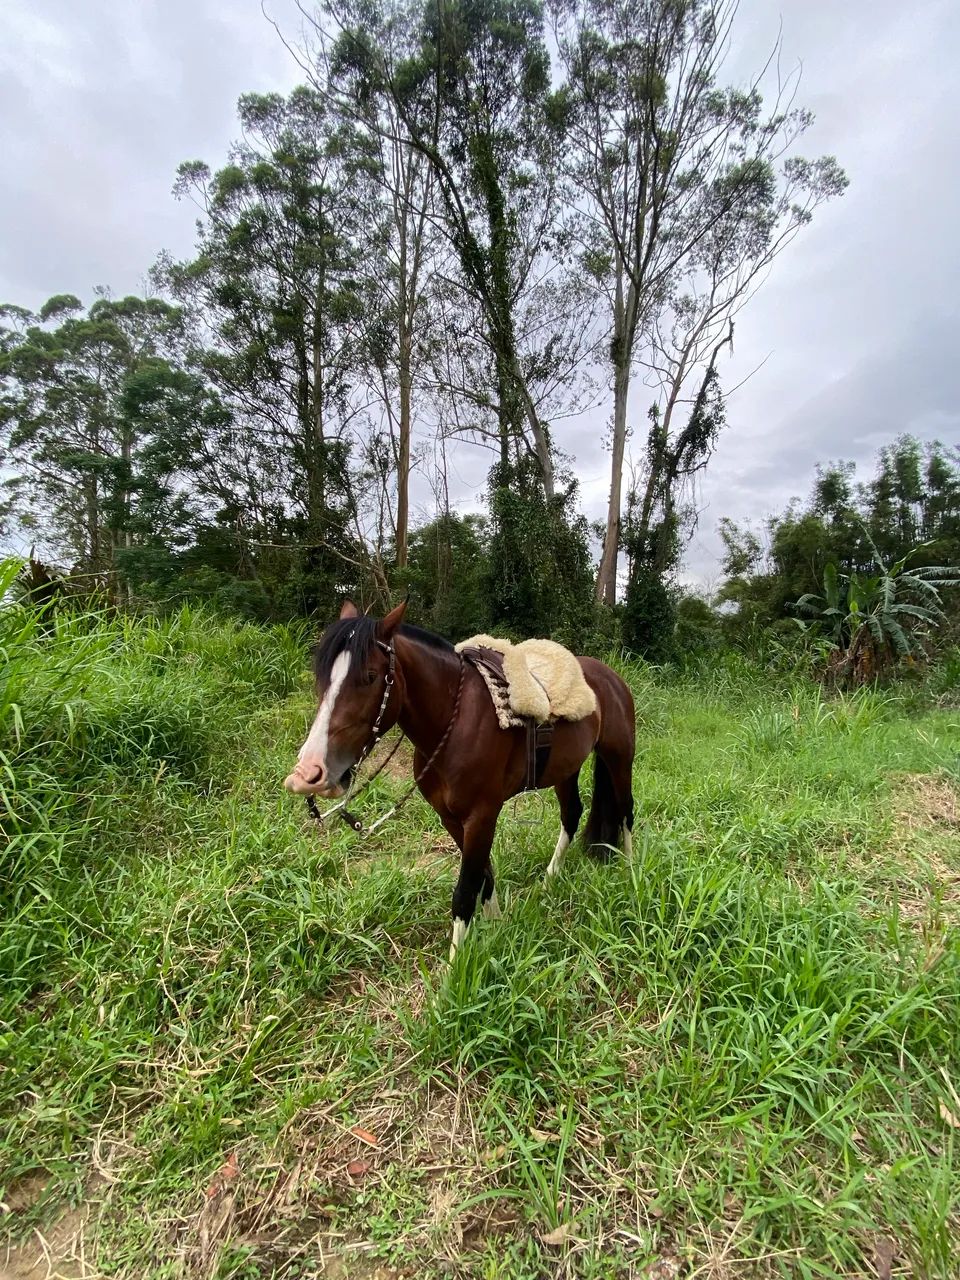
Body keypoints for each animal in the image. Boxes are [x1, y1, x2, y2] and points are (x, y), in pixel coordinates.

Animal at [284, 600, 636, 959]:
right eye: (321, 677)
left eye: (369, 677)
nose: (309, 773)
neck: (454, 724)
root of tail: (611, 677)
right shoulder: (450, 819)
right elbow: (484, 876)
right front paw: (497, 927)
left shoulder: (481, 817)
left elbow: (465, 890)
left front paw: (455, 968)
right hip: (566, 769)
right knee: (572, 814)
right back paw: (550, 879)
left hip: (619, 759)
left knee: (625, 811)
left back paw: (630, 872)